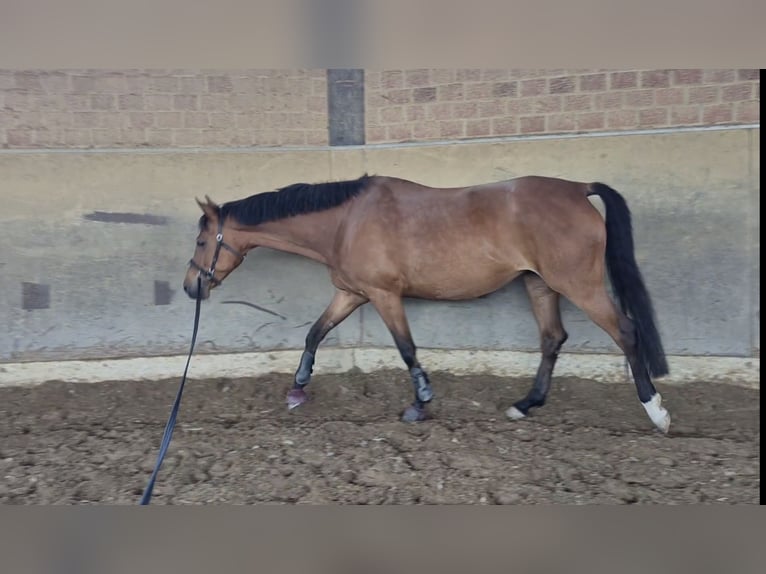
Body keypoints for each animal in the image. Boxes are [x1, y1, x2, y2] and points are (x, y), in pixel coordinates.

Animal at [183, 174, 671, 433]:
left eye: (202, 241)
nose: (191, 287)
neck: (346, 221)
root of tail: (577, 188)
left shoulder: (384, 295)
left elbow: (406, 349)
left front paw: (419, 403)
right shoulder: (352, 292)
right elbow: (315, 333)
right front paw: (298, 389)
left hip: (578, 285)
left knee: (626, 332)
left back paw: (656, 411)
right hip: (539, 286)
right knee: (553, 338)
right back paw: (525, 404)